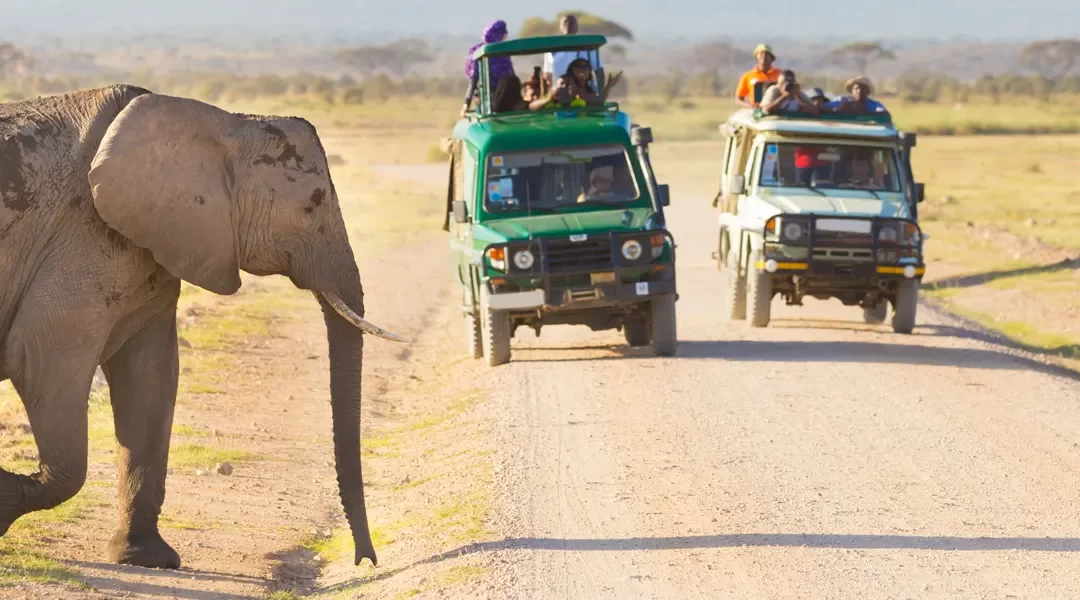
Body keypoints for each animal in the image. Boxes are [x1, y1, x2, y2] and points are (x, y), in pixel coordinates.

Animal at [0, 83, 406, 565]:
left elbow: (150, 380)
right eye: (313, 205)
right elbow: (41, 363)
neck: (222, 122)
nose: (365, 560)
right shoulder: (80, 240)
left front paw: (147, 558)